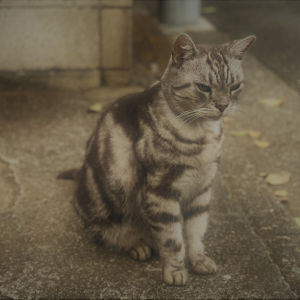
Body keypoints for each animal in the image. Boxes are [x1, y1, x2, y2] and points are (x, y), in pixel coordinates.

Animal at [62, 34, 254, 284]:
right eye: (203, 88)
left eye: (234, 87)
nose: (223, 105)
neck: (203, 134)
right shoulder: (161, 192)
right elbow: (172, 239)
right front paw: (175, 271)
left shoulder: (202, 189)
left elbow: (196, 232)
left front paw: (199, 260)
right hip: (105, 211)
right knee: (113, 234)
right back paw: (138, 245)